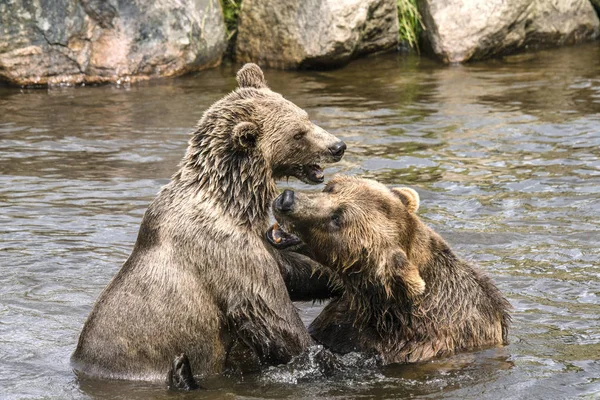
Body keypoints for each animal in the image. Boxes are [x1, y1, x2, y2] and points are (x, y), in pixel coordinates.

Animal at [72, 64, 346, 386]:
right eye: (298, 134)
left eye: (305, 116)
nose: (337, 146)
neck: (234, 202)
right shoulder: (225, 253)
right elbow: (271, 314)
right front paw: (322, 356)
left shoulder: (254, 240)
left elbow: (292, 269)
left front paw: (337, 278)